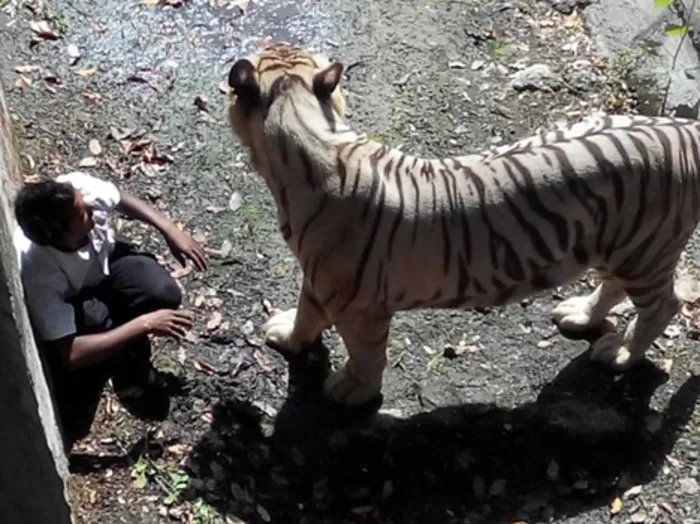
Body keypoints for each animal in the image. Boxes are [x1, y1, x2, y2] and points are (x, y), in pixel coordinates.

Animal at [225, 41, 700, 406]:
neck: (304, 125)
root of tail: (683, 129)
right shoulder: (320, 279)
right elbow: (306, 315)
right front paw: (288, 335)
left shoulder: (357, 304)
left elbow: (365, 353)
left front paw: (352, 391)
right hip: (613, 243)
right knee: (613, 286)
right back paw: (580, 315)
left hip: (647, 251)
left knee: (664, 305)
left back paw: (621, 354)